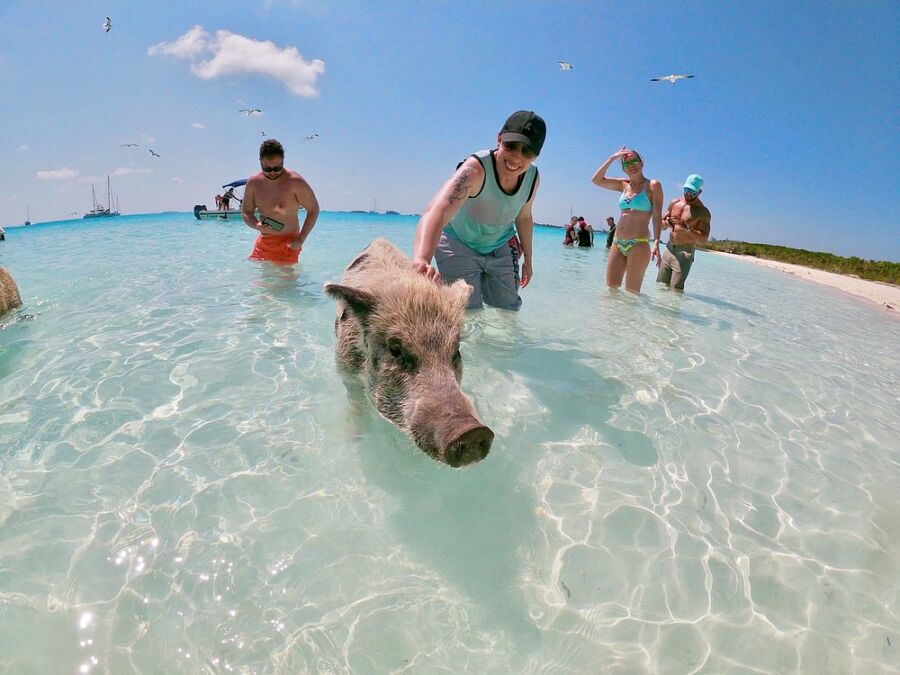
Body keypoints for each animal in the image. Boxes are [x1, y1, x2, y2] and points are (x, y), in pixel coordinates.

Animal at [324, 239, 494, 467]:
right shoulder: (345, 369)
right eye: (395, 349)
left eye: (456, 351)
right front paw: (354, 439)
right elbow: (357, 404)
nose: (472, 431)